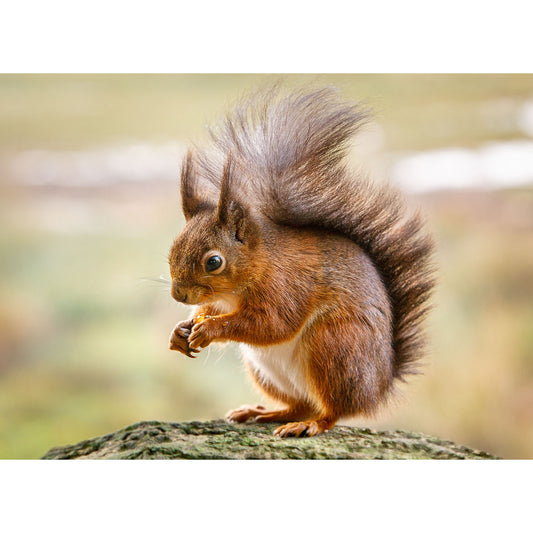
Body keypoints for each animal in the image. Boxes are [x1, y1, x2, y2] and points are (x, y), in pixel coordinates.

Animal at [168, 86, 434, 436]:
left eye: (214, 262)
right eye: (173, 248)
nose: (179, 295)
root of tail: (379, 387)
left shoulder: (285, 287)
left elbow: (271, 324)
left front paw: (210, 328)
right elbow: (210, 310)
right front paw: (183, 329)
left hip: (335, 347)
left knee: (333, 411)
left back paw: (309, 424)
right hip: (266, 371)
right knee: (301, 403)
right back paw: (264, 412)